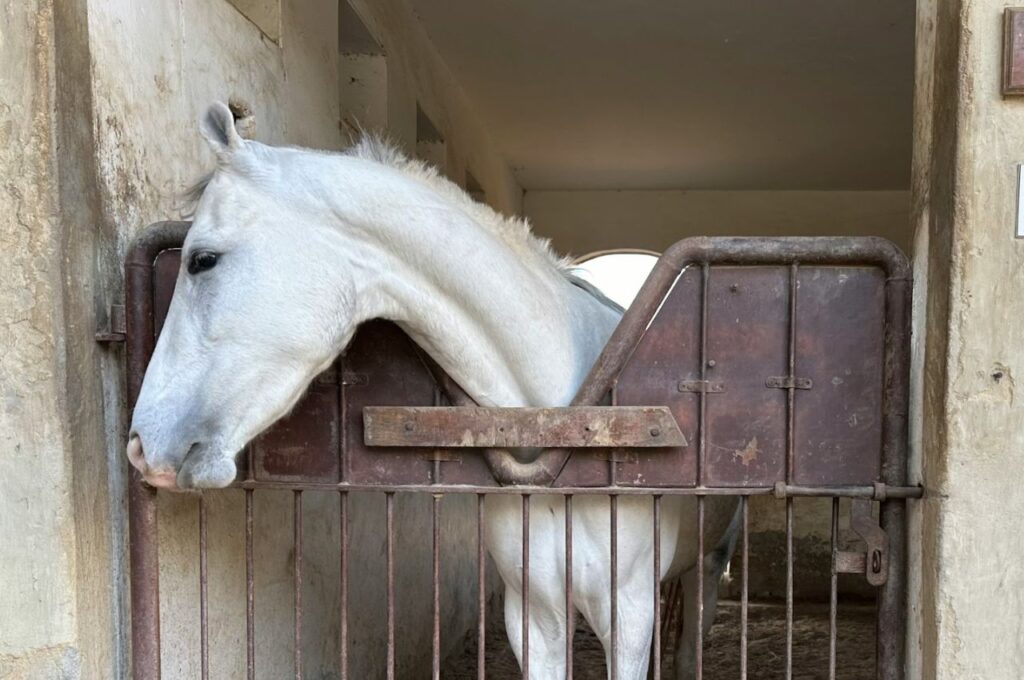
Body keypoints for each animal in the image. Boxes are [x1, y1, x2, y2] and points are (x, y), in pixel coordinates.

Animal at [127, 102, 739, 679]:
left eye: (202, 260)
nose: (139, 446)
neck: (560, 433)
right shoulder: (535, 613)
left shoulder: (627, 613)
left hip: (708, 568)